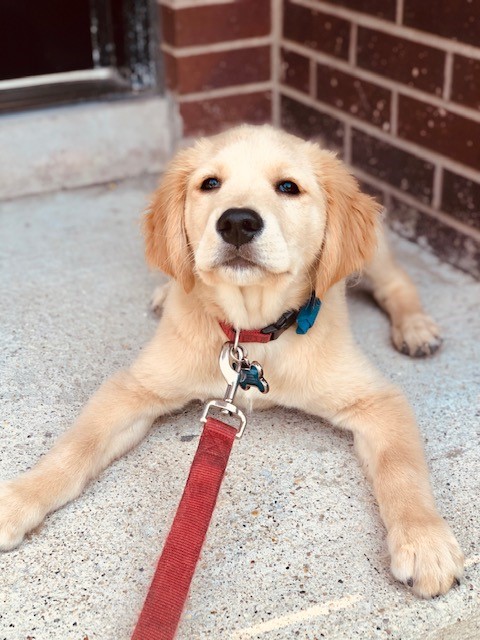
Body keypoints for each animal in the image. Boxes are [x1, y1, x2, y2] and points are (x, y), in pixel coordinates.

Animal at [0, 125, 464, 600]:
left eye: (288, 187)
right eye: (210, 184)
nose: (237, 222)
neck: (251, 331)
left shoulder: (377, 400)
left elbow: (401, 466)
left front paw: (424, 540)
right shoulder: (133, 387)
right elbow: (76, 447)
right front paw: (19, 498)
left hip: (374, 254)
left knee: (397, 283)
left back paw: (416, 328)